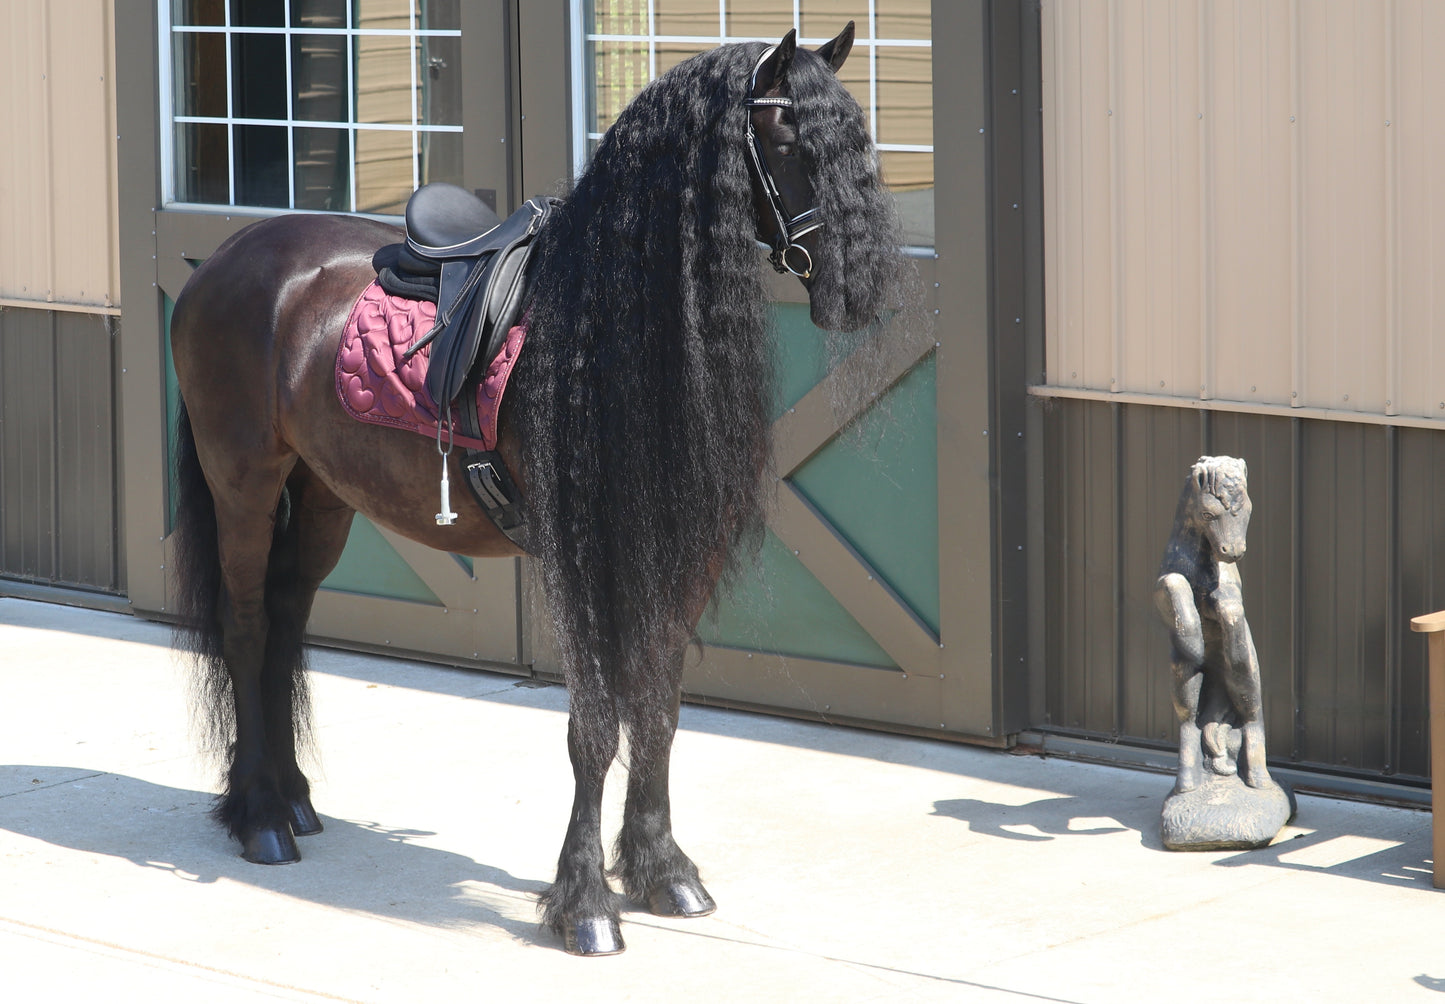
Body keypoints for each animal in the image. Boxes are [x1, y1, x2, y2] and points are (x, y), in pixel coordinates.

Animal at [171, 25, 901, 959]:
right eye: (785, 139)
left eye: (858, 135)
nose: (859, 293)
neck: (605, 330)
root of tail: (225, 258)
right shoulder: (579, 560)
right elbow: (592, 729)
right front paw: (586, 903)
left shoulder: (672, 557)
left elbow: (658, 712)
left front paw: (663, 871)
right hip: (244, 481)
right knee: (246, 626)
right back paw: (262, 818)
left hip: (325, 490)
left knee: (287, 618)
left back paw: (292, 800)